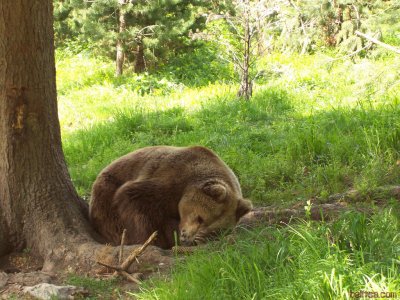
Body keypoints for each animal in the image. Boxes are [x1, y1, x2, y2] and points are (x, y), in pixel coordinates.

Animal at [88, 145, 252, 248]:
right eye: (200, 218)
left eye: (214, 231)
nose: (187, 237)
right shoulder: (168, 181)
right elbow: (135, 203)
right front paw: (152, 241)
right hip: (105, 192)